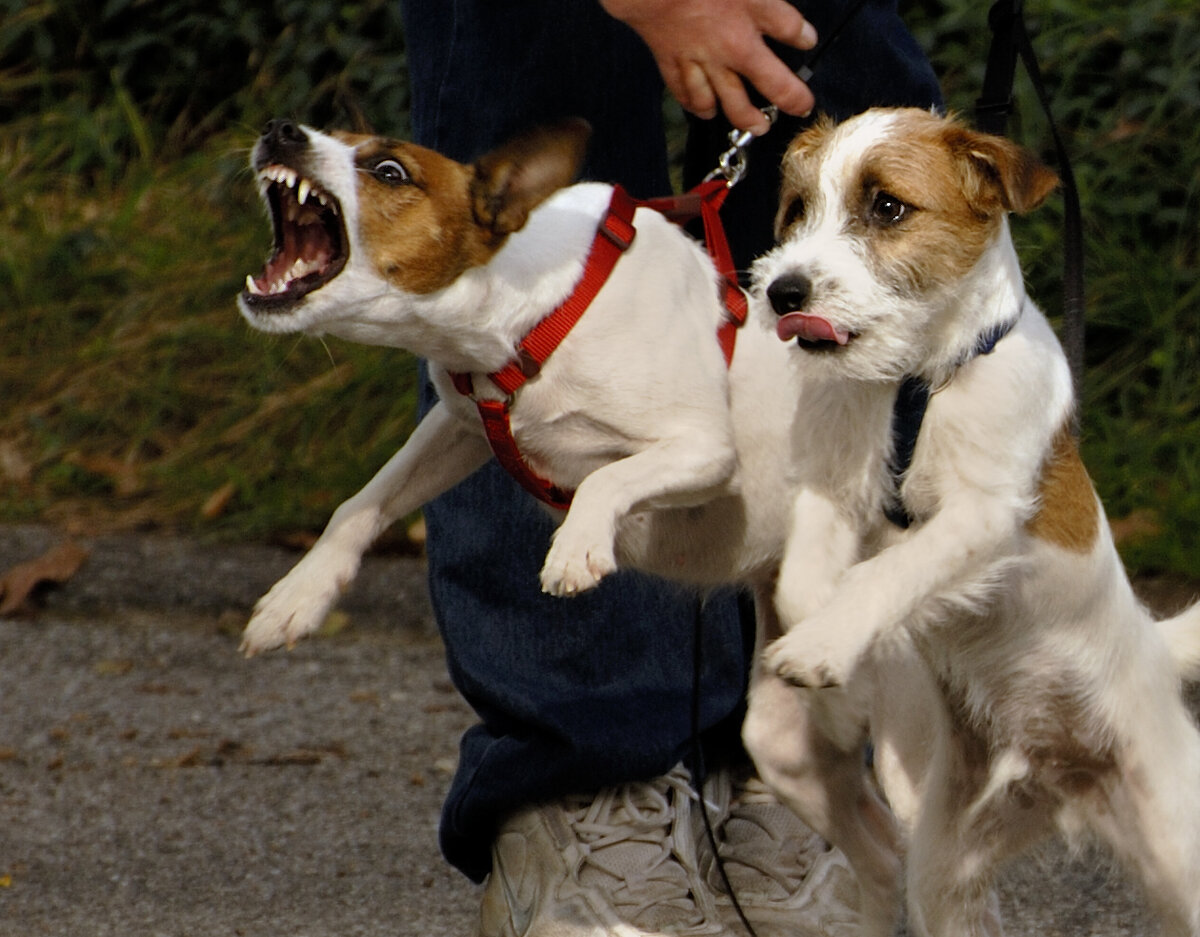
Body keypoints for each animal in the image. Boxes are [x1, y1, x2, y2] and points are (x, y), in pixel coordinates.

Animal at [234, 116, 806, 652]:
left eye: (390, 172)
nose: (280, 130)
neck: (537, 317)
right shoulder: (458, 425)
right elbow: (361, 503)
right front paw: (298, 596)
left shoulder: (705, 449)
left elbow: (605, 478)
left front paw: (575, 548)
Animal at [744, 106, 1200, 931]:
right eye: (796, 209)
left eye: (887, 206)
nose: (785, 291)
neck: (915, 384)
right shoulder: (833, 491)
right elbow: (804, 583)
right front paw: (843, 654)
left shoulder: (981, 517)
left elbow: (892, 568)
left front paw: (828, 643)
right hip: (947, 867)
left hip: (1177, 842)